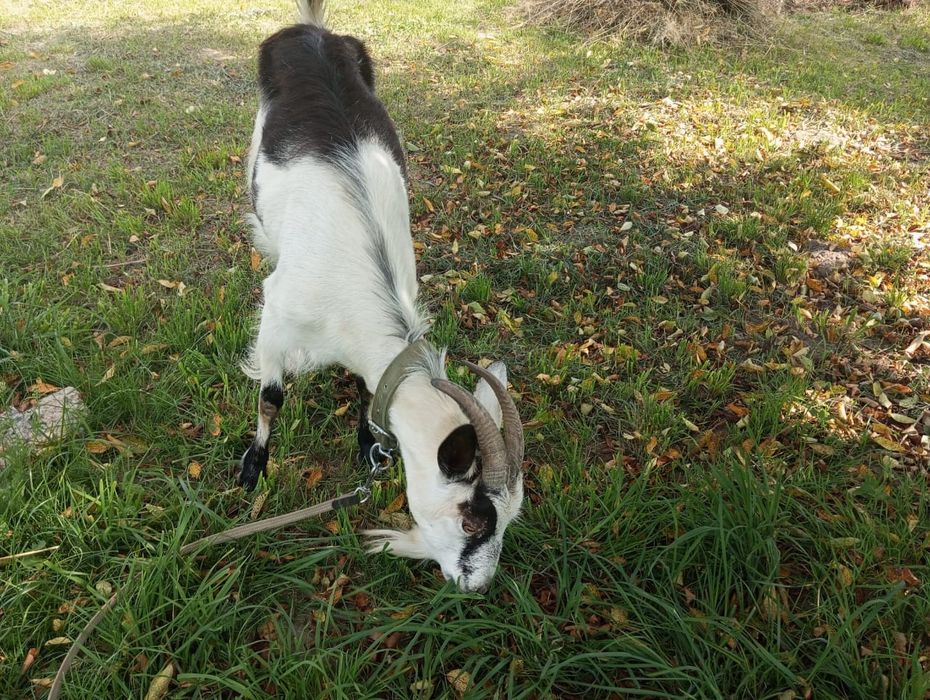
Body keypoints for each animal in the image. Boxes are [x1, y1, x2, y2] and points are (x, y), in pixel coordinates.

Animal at [239, 0, 524, 592]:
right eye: (471, 518)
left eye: (511, 518)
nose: (477, 585)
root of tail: (313, 28)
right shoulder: (277, 314)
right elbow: (271, 396)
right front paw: (254, 466)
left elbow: (363, 386)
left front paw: (367, 442)